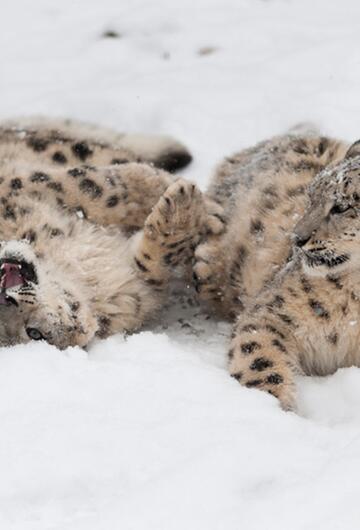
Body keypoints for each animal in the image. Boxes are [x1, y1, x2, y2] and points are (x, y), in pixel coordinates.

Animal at [0, 117, 222, 348]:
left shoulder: (20, 184)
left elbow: (95, 188)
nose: (5, 295)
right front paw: (183, 209)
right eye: (34, 334)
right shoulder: (136, 287)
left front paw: (206, 211)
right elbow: (153, 262)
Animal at [193, 127, 360, 408]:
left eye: (341, 206)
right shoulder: (273, 311)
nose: (297, 237)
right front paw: (270, 407)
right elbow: (257, 356)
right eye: (311, 196)